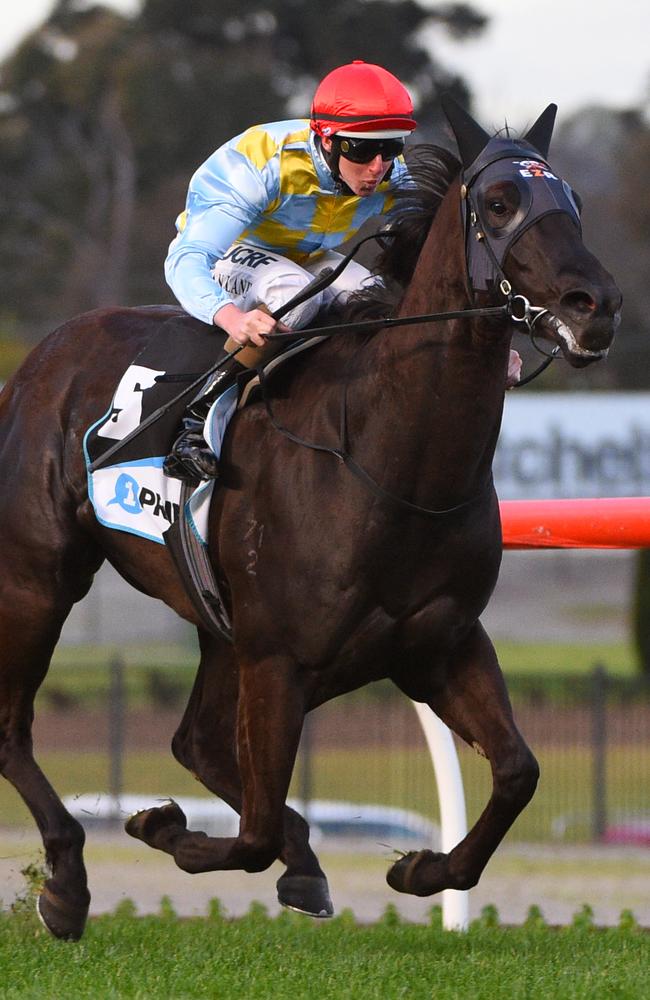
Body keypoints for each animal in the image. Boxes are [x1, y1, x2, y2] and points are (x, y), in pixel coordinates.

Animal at [0, 101, 620, 936]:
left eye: (574, 203)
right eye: (498, 204)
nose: (598, 305)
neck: (390, 459)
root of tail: (41, 356)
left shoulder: (438, 643)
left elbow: (519, 770)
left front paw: (424, 869)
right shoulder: (278, 658)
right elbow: (255, 831)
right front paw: (164, 827)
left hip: (218, 628)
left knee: (196, 742)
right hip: (39, 577)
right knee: (16, 726)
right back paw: (67, 881)